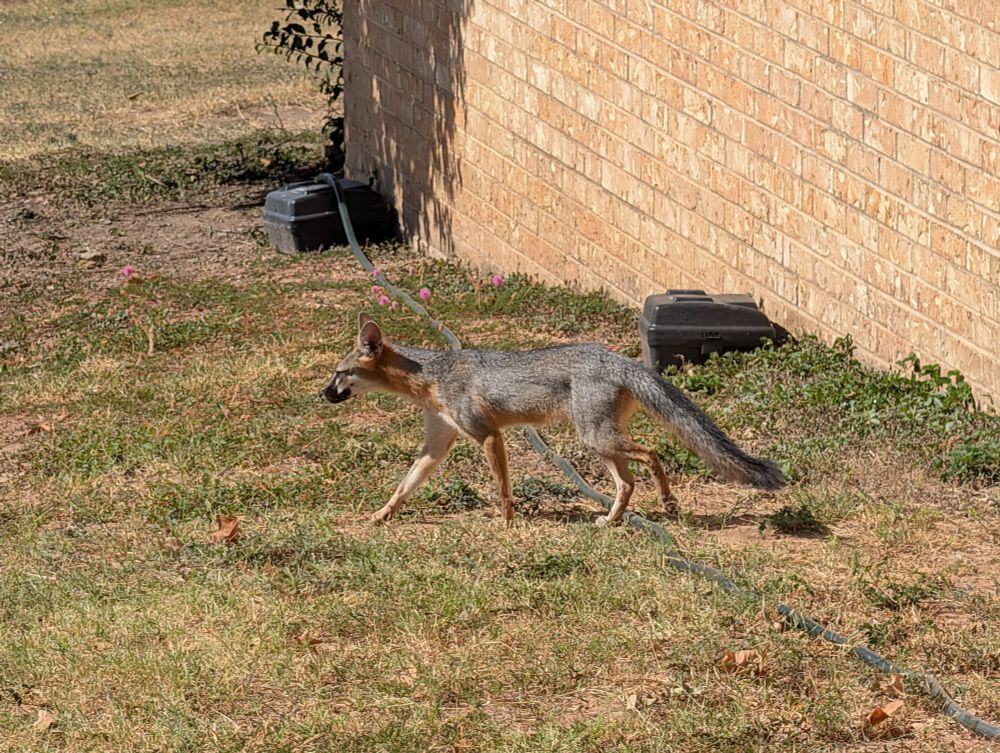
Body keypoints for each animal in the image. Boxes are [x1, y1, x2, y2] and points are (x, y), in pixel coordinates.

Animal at [323, 313, 785, 526]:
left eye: (340, 374)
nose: (322, 394)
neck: (432, 377)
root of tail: (617, 358)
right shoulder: (437, 444)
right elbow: (404, 487)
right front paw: (381, 516)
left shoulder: (488, 436)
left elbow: (503, 489)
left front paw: (507, 524)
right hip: (599, 442)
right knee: (626, 483)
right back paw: (611, 521)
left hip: (597, 439)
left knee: (652, 454)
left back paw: (669, 503)